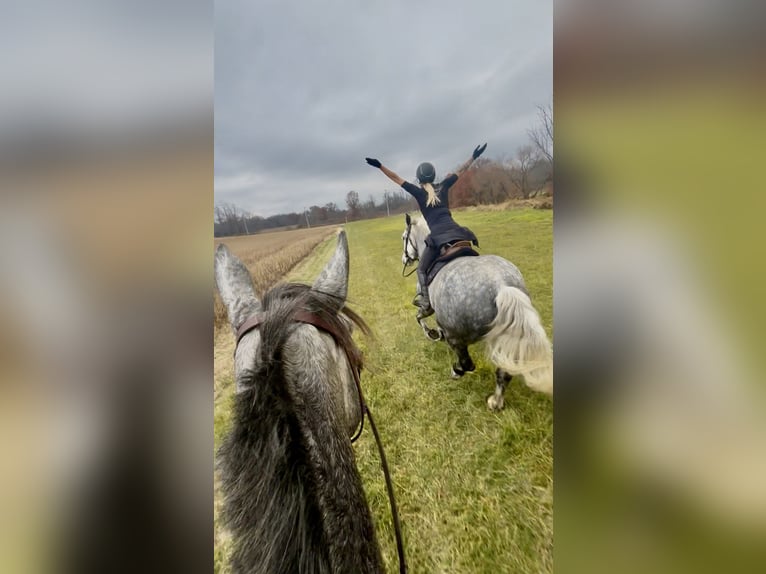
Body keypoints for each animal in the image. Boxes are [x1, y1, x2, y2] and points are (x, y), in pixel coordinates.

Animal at [401, 214, 553, 410]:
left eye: (404, 237)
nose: (404, 260)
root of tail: (501, 285)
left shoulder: (427, 306)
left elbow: (419, 317)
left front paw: (432, 334)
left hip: (457, 337)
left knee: (467, 363)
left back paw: (456, 371)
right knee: (503, 372)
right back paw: (496, 402)